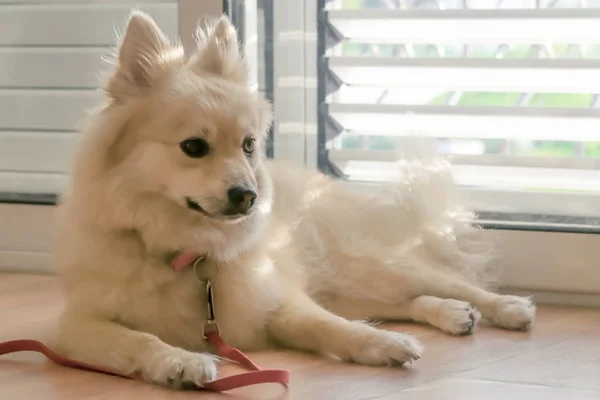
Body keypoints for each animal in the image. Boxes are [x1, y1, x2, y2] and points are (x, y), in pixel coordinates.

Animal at [51, 9, 536, 390]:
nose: (247, 195)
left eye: (248, 145)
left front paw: (379, 342)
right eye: (194, 147)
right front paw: (180, 360)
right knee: (405, 303)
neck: (186, 252)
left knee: (445, 284)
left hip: (371, 269)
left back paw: (504, 308)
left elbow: (327, 325)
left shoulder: (277, 303)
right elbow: (137, 338)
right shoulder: (77, 328)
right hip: (349, 285)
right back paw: (453, 314)